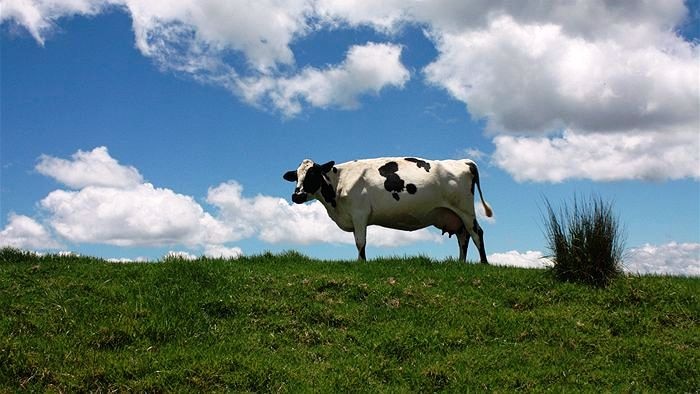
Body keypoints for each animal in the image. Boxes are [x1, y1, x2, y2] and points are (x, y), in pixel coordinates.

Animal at [284, 157, 492, 262]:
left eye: (313, 174)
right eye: (297, 176)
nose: (297, 196)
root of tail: (464, 161)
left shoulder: (359, 214)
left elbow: (360, 242)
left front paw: (361, 263)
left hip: (465, 209)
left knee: (477, 233)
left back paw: (483, 263)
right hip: (455, 215)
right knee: (463, 237)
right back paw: (460, 263)